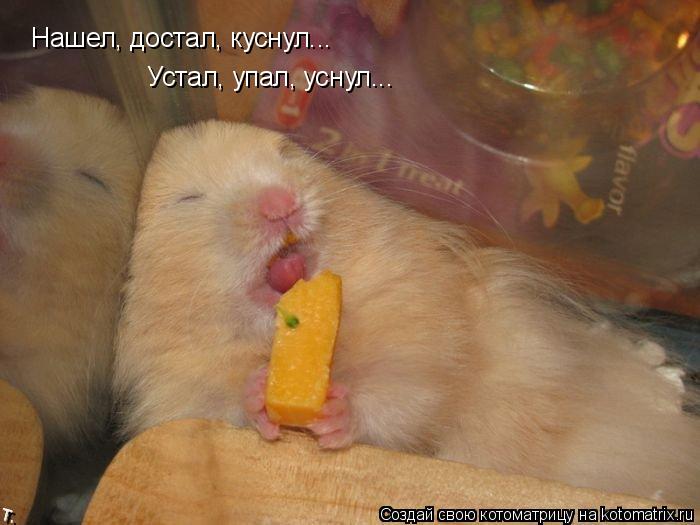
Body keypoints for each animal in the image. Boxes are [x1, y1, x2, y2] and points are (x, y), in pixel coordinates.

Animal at [114, 121, 700, 505]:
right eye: (187, 200)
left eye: (288, 153)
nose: (282, 204)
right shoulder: (175, 397)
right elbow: (218, 408)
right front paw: (260, 395)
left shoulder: (426, 332)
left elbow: (402, 396)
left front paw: (335, 413)